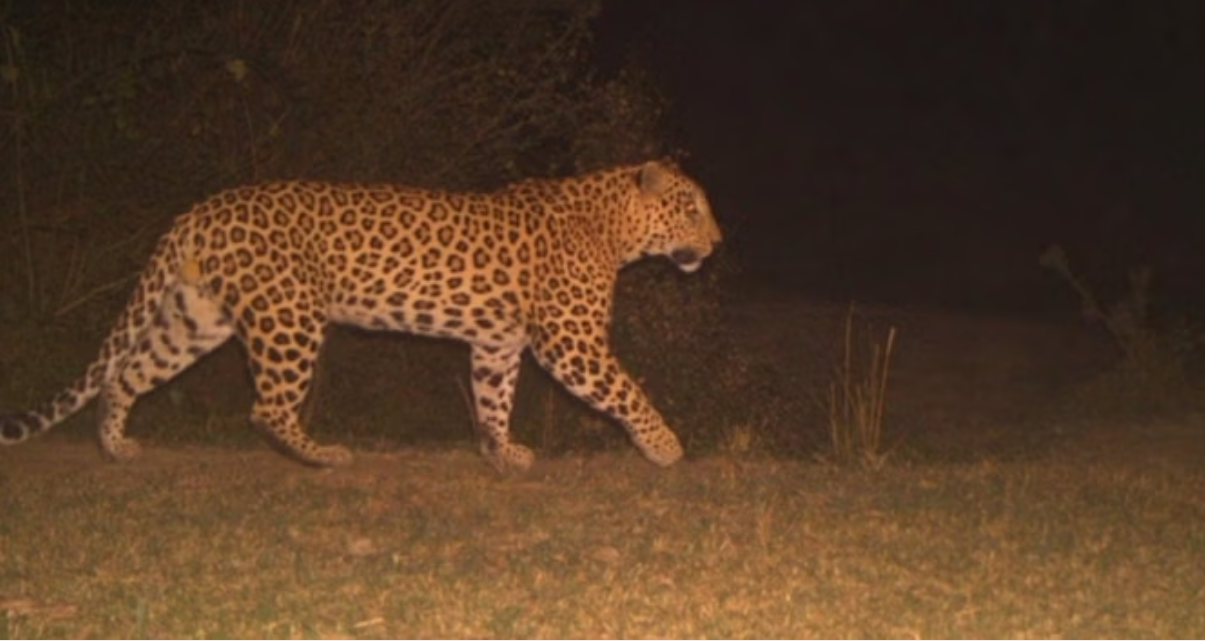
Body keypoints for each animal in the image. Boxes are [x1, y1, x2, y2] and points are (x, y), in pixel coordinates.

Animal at [0, 160, 722, 472]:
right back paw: (323, 455)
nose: (716, 243)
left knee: (127, 374)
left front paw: (501, 450)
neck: (616, 230)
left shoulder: (496, 342)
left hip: (196, 317)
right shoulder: (571, 341)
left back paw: (115, 444)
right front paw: (664, 445)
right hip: (289, 317)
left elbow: (494, 396)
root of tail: (197, 211)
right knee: (266, 407)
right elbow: (626, 390)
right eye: (691, 208)